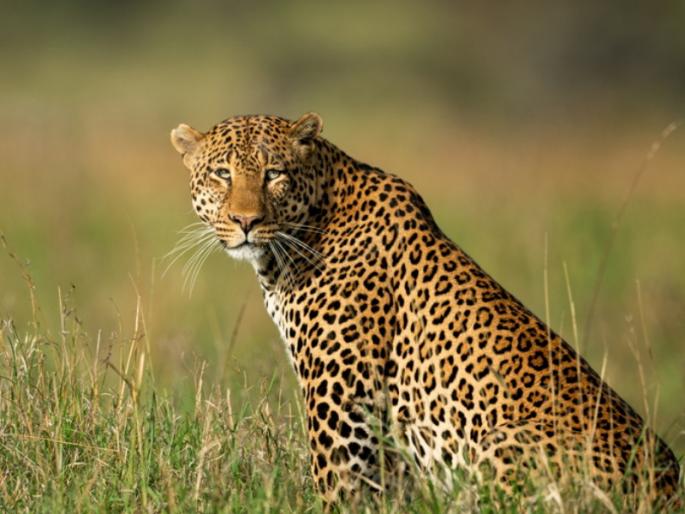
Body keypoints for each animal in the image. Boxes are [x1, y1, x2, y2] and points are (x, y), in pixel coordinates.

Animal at [170, 112, 680, 506]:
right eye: (222, 174)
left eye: (274, 173)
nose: (246, 221)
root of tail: (667, 488)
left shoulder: (342, 400)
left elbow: (338, 487)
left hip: (503, 444)